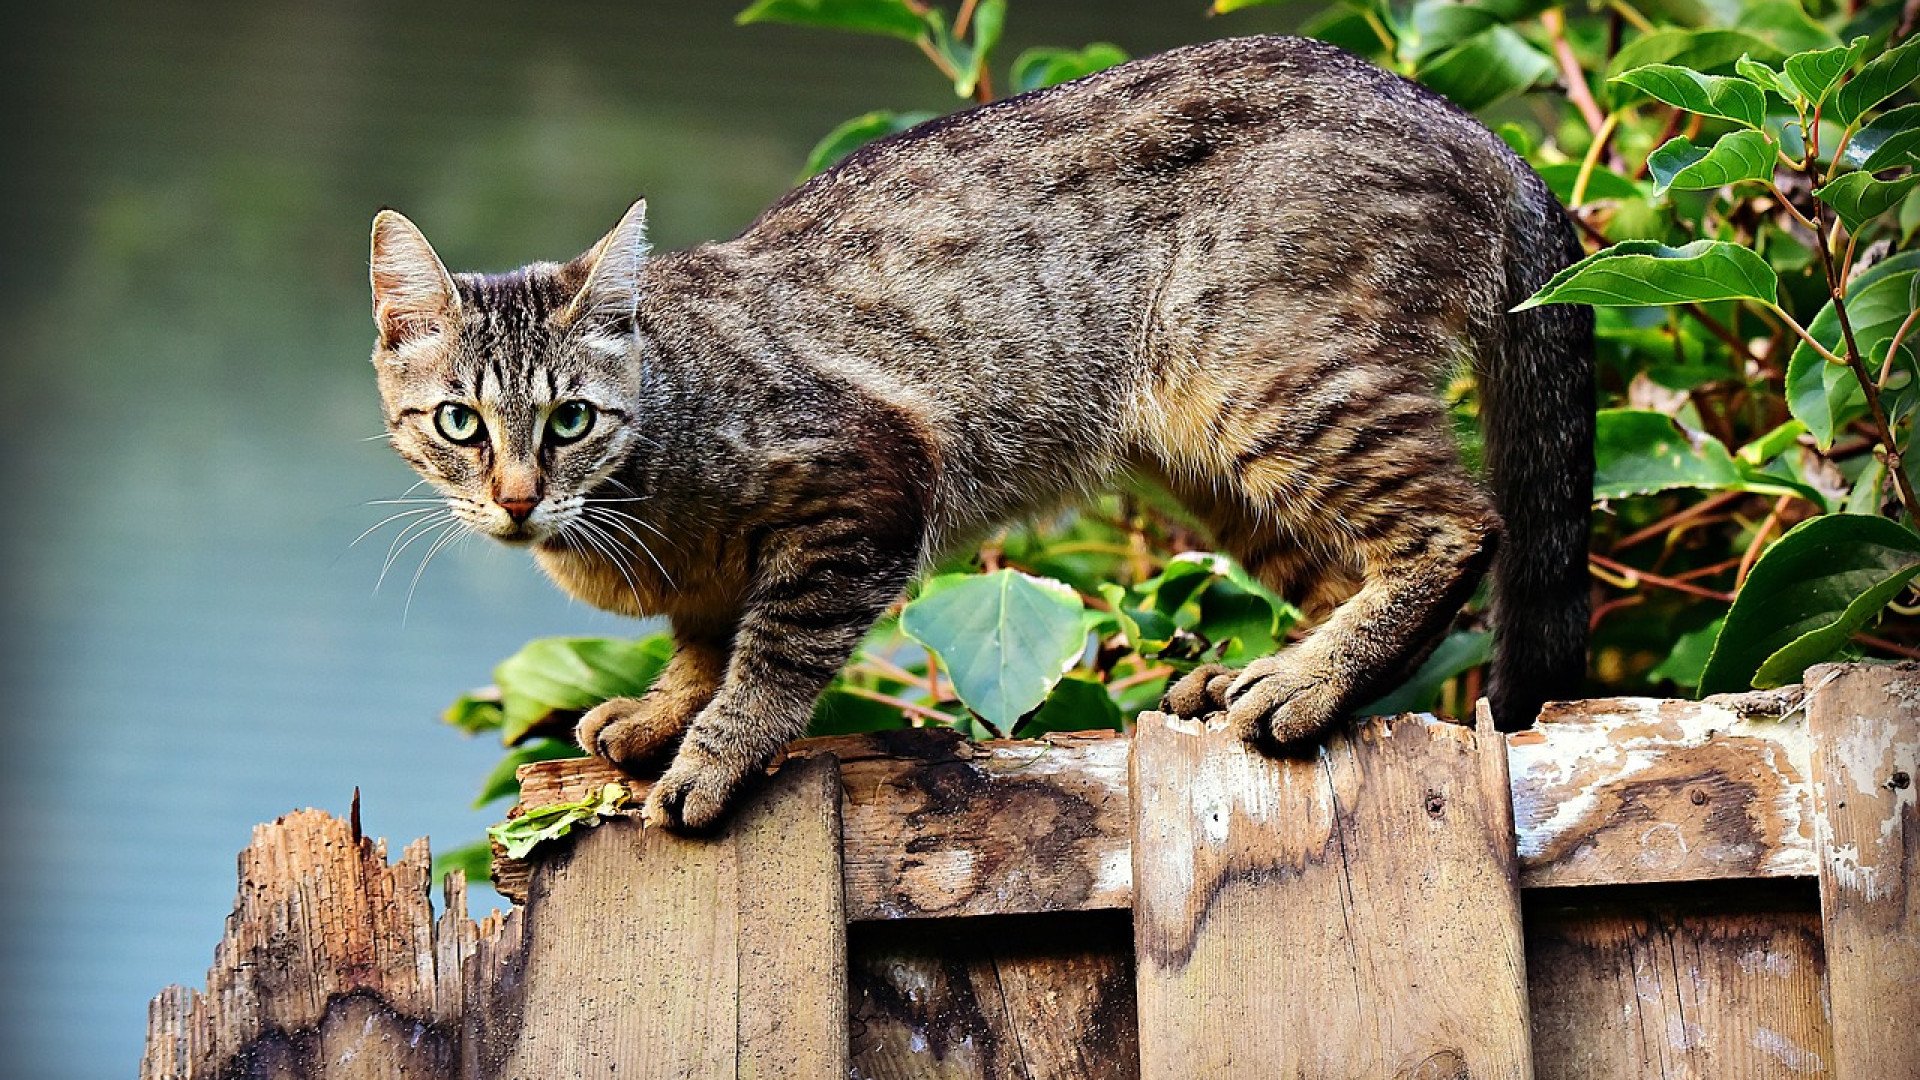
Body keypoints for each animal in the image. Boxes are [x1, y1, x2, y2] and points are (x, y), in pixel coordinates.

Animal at [366, 31, 1597, 822]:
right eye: (460, 424)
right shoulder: (715, 580)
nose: (517, 498)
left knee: (1458, 529)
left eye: (570, 419)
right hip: (1208, 457)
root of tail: (1472, 128)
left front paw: (714, 752)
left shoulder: (867, 488)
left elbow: (772, 652)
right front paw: (664, 710)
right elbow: (704, 642)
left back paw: (1305, 683)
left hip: (1269, 377)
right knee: (1348, 570)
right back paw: (1267, 671)